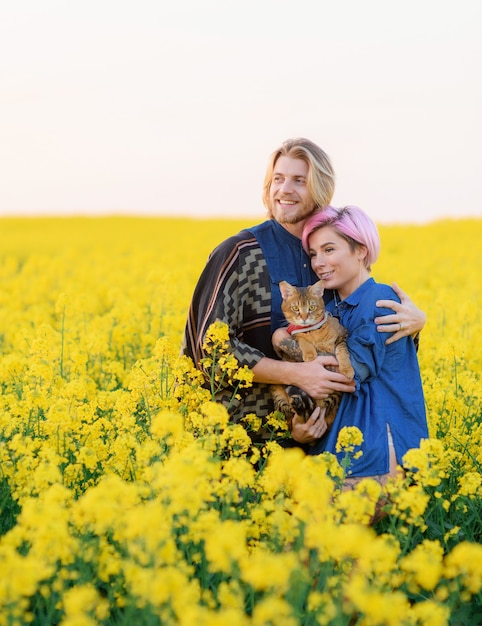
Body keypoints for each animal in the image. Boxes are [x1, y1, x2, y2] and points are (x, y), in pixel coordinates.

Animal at [272, 280, 354, 432]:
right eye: (295, 308)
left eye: (311, 307)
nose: (304, 318)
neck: (313, 332)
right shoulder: (294, 337)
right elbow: (302, 339)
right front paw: (310, 354)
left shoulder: (341, 337)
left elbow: (343, 352)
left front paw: (347, 369)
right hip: (277, 392)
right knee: (299, 416)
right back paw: (297, 404)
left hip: (333, 394)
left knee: (314, 411)